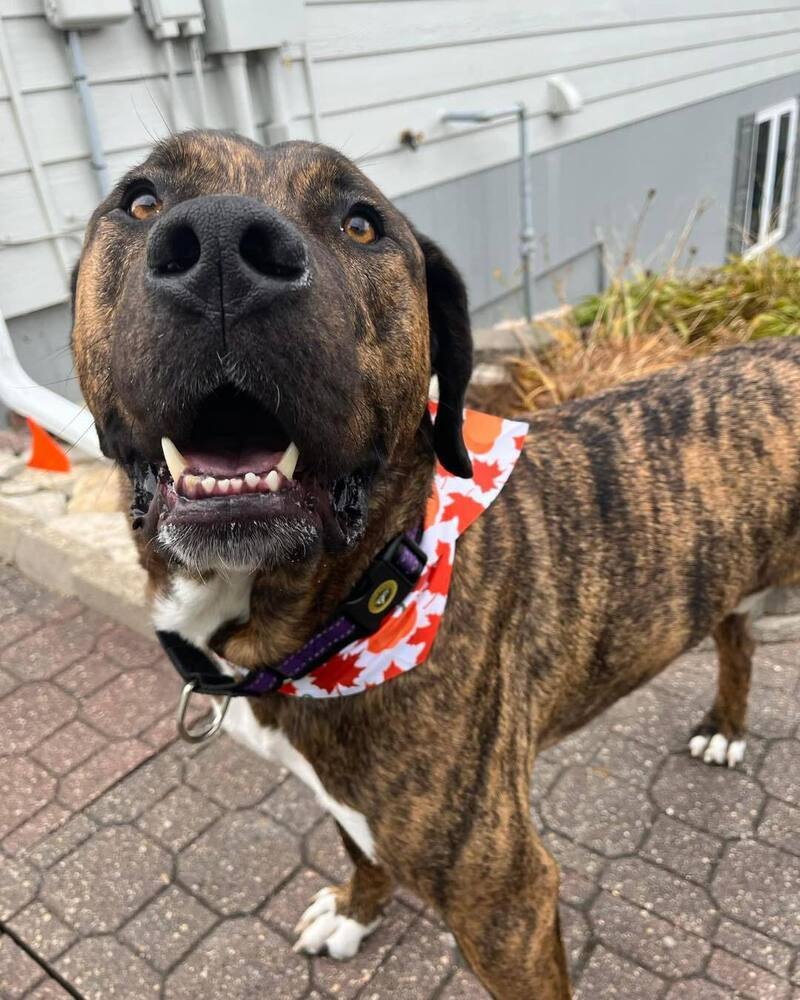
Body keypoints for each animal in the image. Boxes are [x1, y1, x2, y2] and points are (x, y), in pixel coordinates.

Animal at [73, 135, 800, 1000]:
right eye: (141, 200)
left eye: (362, 224)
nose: (219, 248)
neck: (369, 594)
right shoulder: (338, 792)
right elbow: (358, 849)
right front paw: (357, 912)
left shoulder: (507, 902)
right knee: (736, 635)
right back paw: (726, 725)